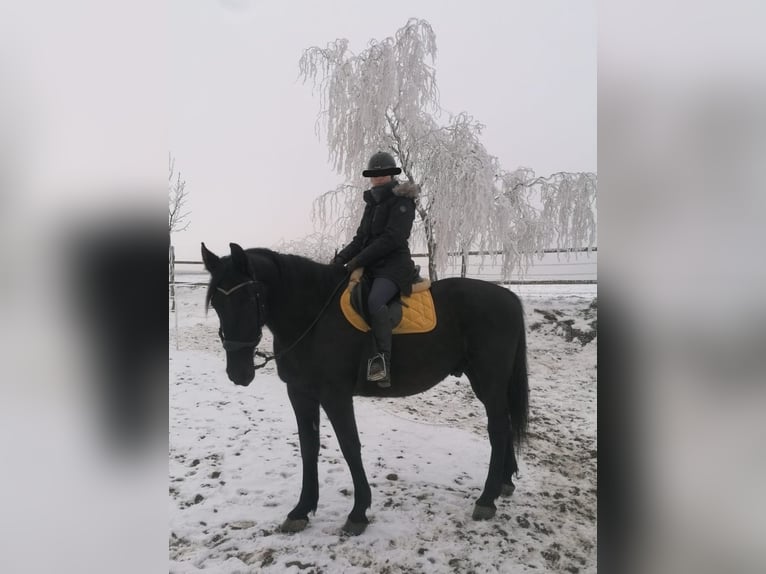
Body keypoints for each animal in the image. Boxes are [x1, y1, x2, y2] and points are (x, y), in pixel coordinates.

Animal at [201, 242, 532, 536]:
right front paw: (301, 511)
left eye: (249, 298)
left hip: (489, 379)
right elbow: (308, 447)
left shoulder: (335, 395)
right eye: (217, 304)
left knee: (498, 428)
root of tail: (509, 297)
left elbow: (350, 446)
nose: (238, 373)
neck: (312, 318)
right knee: (504, 424)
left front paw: (358, 513)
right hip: (487, 382)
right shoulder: (299, 393)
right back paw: (504, 483)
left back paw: (486, 499)